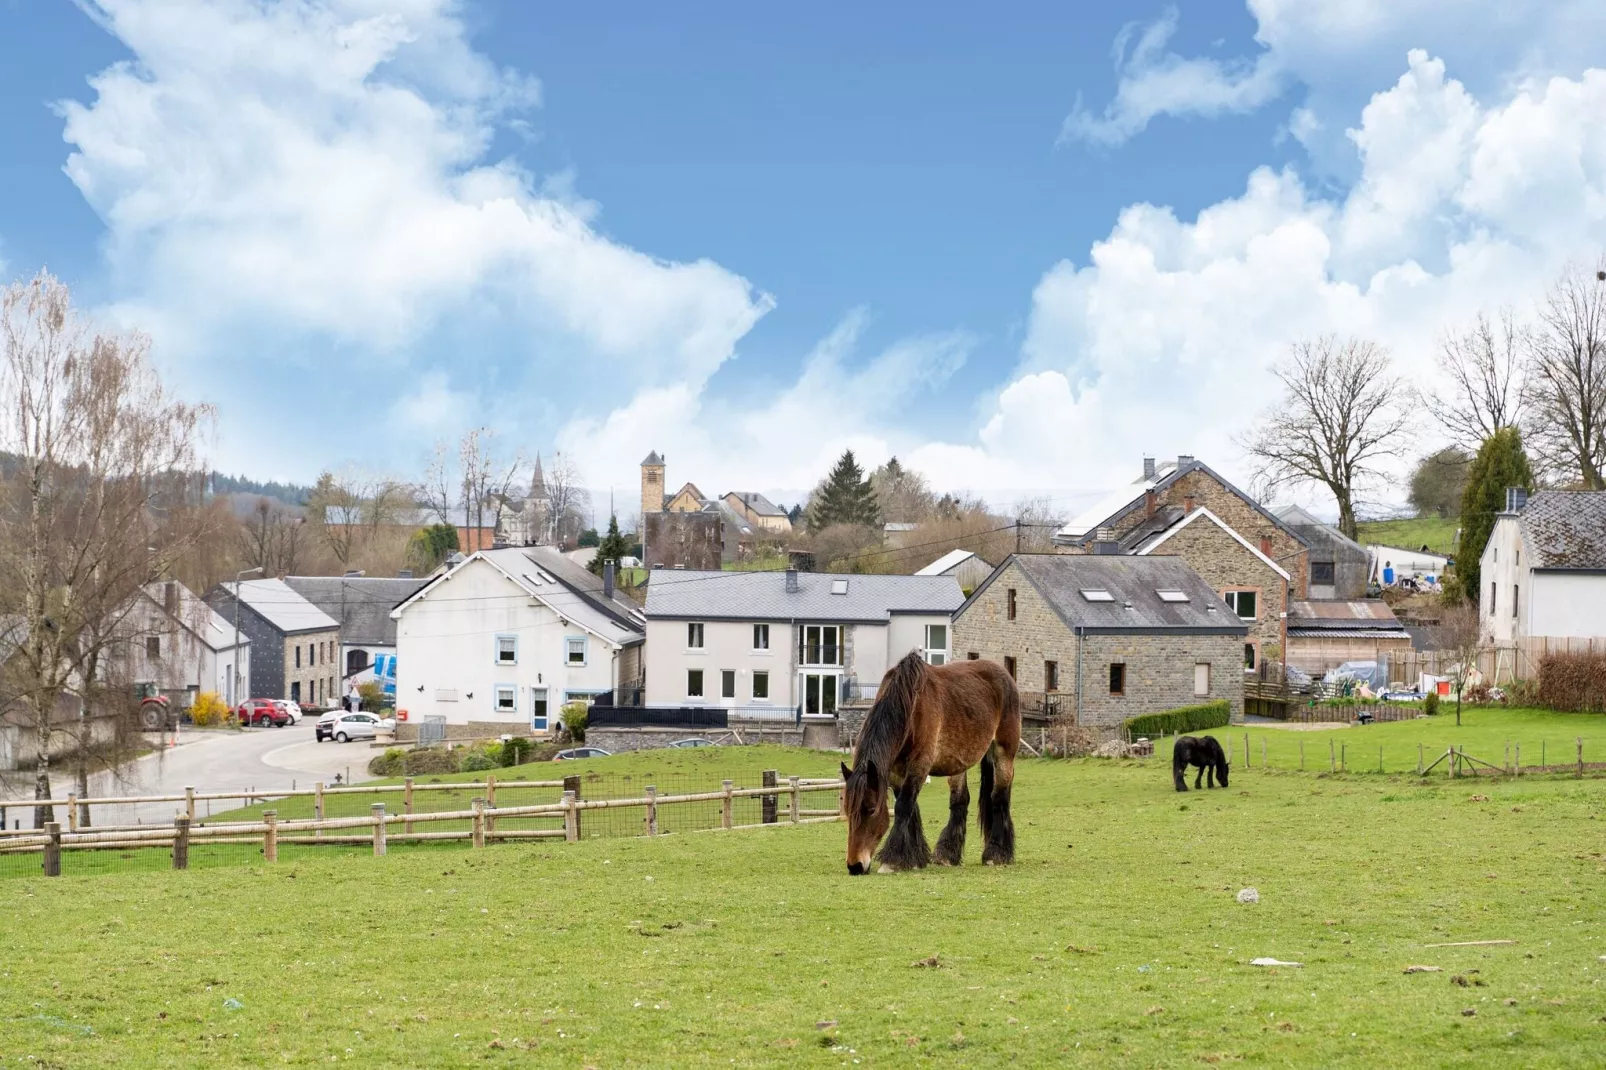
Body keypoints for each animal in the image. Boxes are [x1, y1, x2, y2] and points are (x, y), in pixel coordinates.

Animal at [841, 649, 1014, 873]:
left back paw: (997, 853)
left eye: (871, 809)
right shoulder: (896, 772)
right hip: (958, 763)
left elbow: (904, 806)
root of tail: (1006, 676)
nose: (855, 866)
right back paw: (947, 854)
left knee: (999, 797)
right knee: (960, 801)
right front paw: (914, 858)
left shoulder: (919, 765)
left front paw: (892, 860)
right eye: (847, 810)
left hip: (1004, 754)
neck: (910, 707)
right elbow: (910, 808)